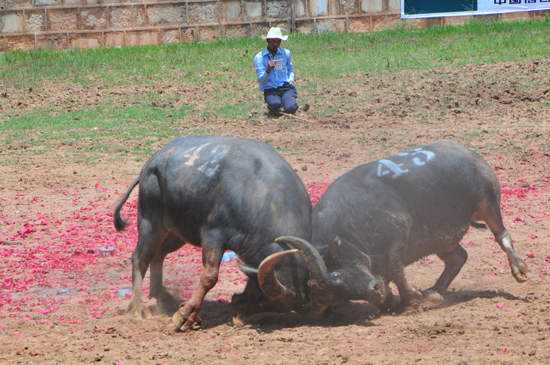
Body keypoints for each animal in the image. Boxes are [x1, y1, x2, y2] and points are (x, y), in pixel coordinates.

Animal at [115, 136, 326, 330]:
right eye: (262, 295)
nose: (238, 306)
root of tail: (151, 163)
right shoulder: (213, 235)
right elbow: (209, 276)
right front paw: (186, 315)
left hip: (178, 230)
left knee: (158, 254)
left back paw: (162, 297)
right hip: (150, 222)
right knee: (140, 257)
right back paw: (137, 308)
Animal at [278, 141, 532, 312]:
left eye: (337, 276)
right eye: (335, 295)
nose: (374, 292)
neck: (349, 232)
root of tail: (470, 153)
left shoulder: (398, 231)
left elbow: (395, 270)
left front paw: (413, 301)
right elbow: (390, 274)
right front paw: (401, 299)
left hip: (487, 202)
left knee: (501, 235)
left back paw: (519, 268)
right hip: (440, 238)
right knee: (458, 257)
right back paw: (435, 289)